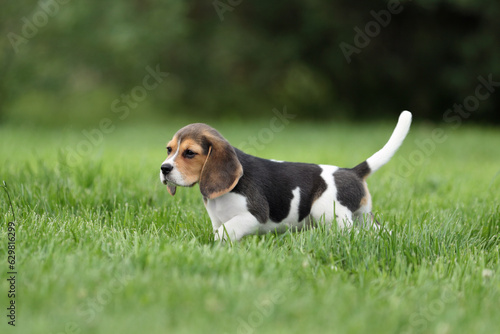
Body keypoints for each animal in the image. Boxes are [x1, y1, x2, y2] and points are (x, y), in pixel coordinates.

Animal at [162, 111, 412, 240]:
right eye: (169, 149)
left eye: (190, 153)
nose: (164, 169)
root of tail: (352, 171)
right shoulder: (218, 220)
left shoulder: (254, 216)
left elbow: (224, 233)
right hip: (363, 216)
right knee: (379, 230)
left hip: (327, 211)